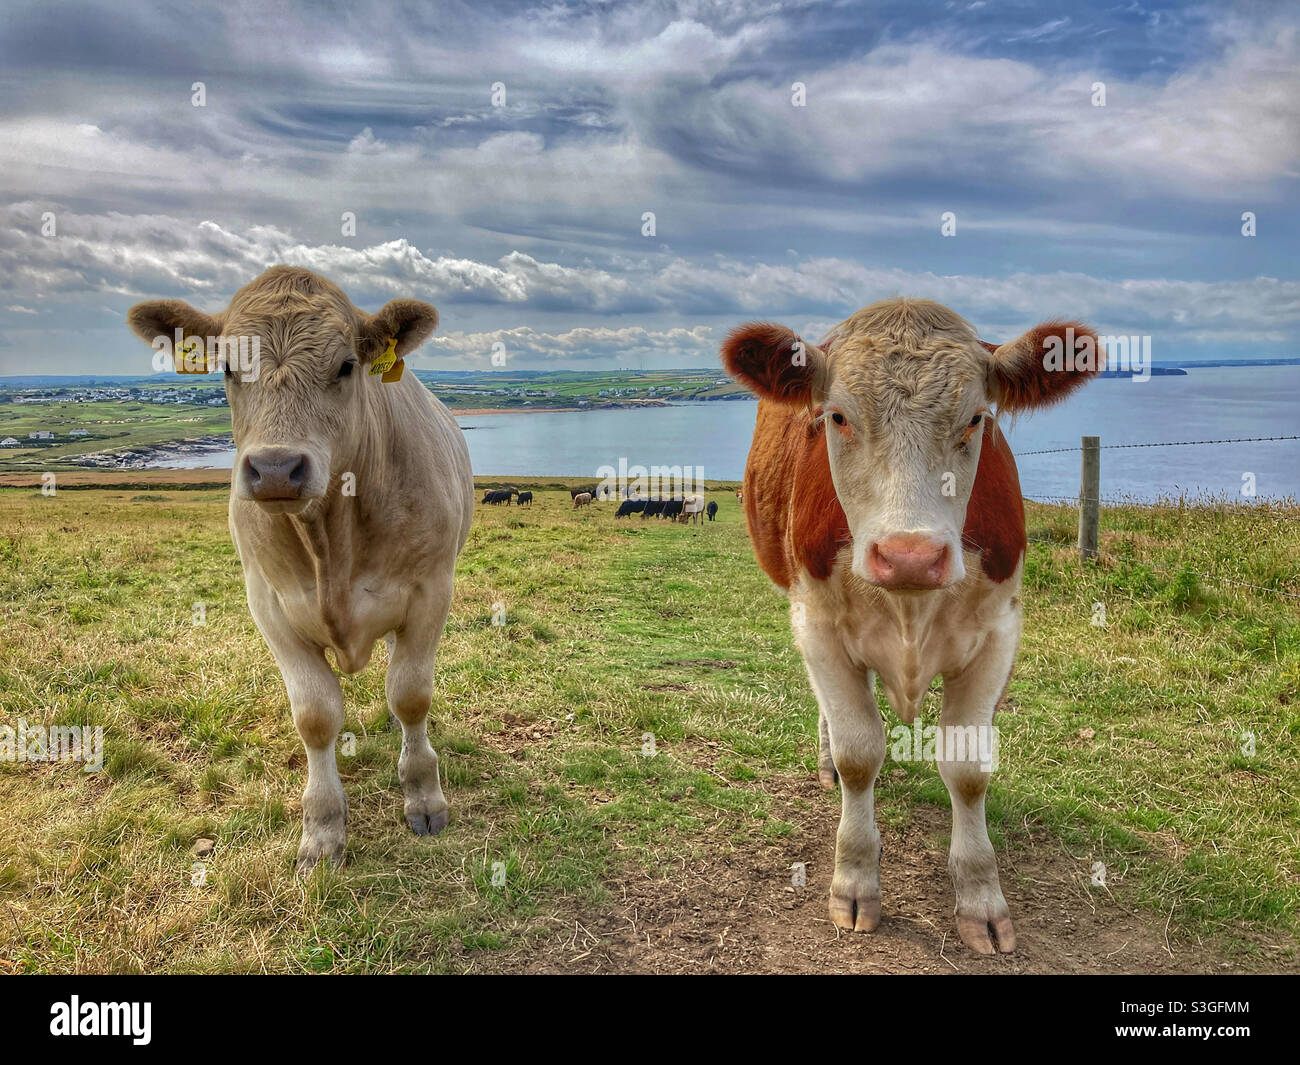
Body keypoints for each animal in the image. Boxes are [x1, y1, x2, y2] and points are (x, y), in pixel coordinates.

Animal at [127, 265, 474, 871]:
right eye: (227, 366)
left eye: (347, 366)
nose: (275, 469)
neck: (329, 541)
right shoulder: (269, 604)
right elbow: (315, 714)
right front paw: (323, 830)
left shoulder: (432, 590)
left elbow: (411, 693)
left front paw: (423, 796)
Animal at [721, 297, 1101, 954]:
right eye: (837, 417)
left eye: (977, 419)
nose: (909, 557)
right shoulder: (817, 624)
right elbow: (858, 755)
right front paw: (854, 883)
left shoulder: (998, 632)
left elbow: (968, 769)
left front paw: (981, 898)